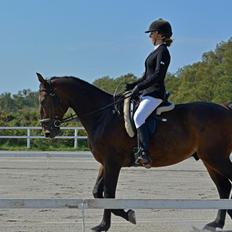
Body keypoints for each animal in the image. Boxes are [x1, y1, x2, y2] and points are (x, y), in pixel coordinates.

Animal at [37, 73, 232, 232]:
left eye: (44, 100)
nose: (47, 131)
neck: (103, 116)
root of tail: (225, 108)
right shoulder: (105, 163)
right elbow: (97, 192)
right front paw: (105, 223)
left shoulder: (112, 162)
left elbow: (109, 194)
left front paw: (118, 219)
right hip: (209, 160)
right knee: (224, 187)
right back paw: (215, 223)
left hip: (216, 158)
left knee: (226, 186)